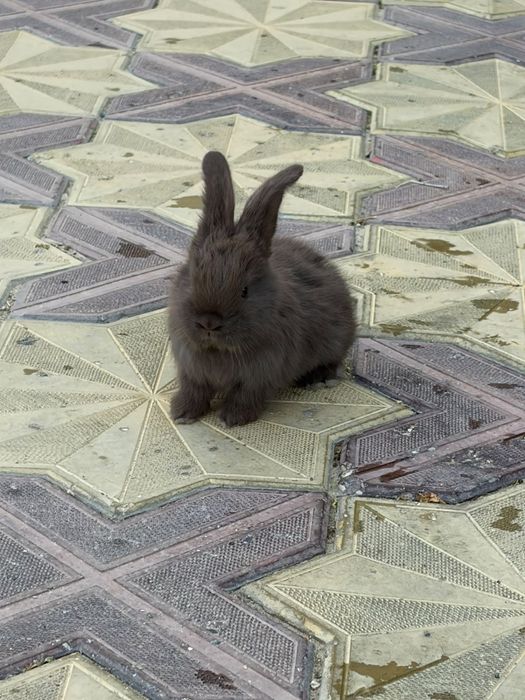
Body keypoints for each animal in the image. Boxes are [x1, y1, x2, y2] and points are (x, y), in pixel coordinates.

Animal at [168, 151, 356, 427]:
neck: (220, 350)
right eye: (192, 278)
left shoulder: (258, 377)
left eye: (245, 291)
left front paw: (232, 419)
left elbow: (246, 397)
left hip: (336, 340)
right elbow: (194, 391)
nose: (209, 323)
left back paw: (319, 379)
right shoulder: (192, 372)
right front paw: (182, 413)